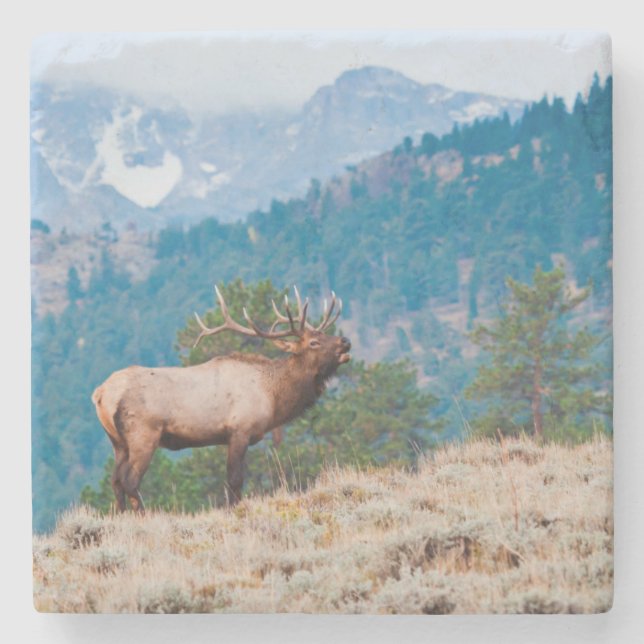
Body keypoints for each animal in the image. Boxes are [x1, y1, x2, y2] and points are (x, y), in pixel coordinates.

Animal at [91, 285, 351, 512]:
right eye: (314, 342)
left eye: (324, 333)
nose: (345, 341)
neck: (273, 397)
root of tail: (101, 393)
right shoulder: (240, 430)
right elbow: (235, 480)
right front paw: (234, 510)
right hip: (143, 434)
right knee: (130, 480)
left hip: (117, 442)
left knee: (115, 481)